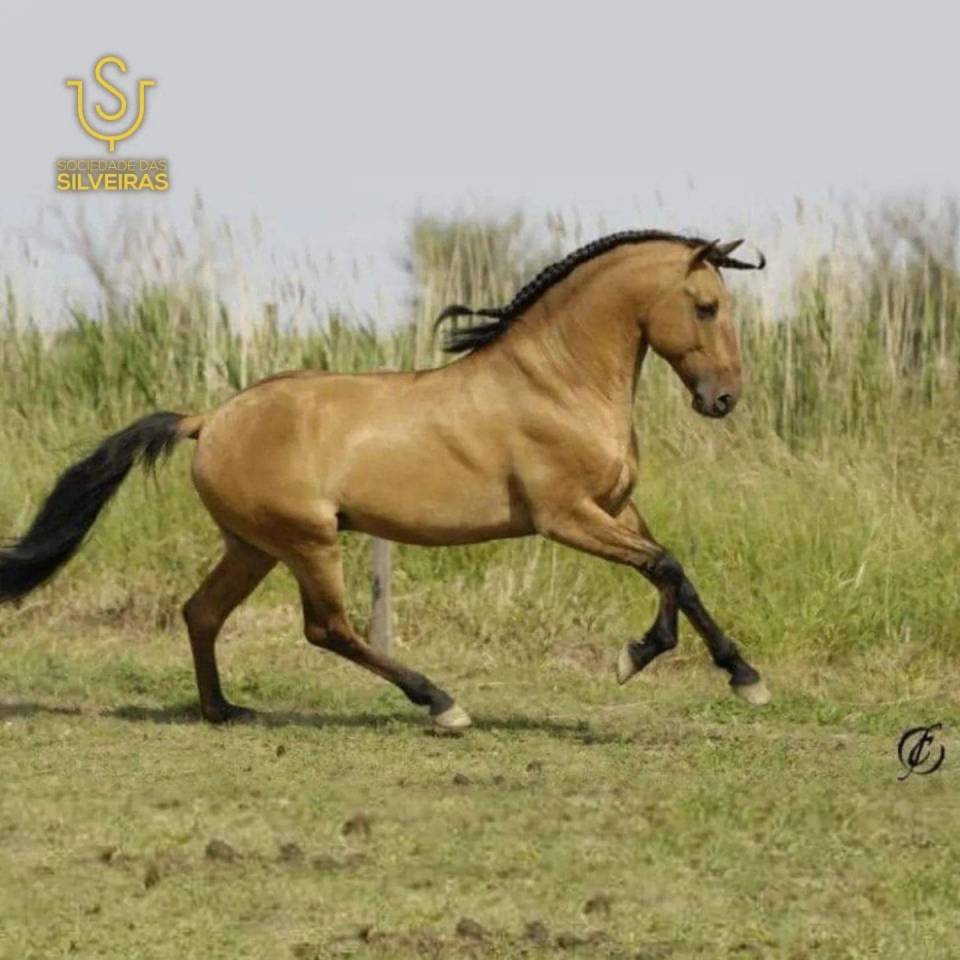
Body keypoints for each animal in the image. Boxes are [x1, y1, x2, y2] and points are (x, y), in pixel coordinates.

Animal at [0, 230, 768, 730]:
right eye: (705, 306)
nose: (724, 399)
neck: (558, 380)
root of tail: (210, 417)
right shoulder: (567, 516)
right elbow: (665, 566)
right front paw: (640, 658)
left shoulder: (616, 508)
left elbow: (676, 573)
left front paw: (737, 675)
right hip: (307, 541)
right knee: (327, 628)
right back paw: (441, 703)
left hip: (253, 546)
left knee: (202, 612)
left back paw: (223, 711)